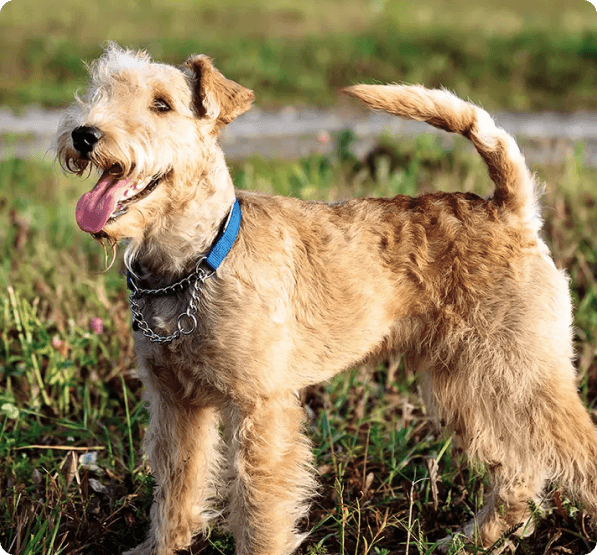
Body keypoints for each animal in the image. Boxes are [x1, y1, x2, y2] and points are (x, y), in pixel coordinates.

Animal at [56, 44, 596, 555]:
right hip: (464, 385)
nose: (84, 134)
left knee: (575, 453)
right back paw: (469, 539)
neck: (192, 264)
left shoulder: (261, 407)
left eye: (162, 104)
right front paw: (158, 547)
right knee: (518, 471)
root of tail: (510, 211)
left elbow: (259, 508)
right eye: (98, 89)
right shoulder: (174, 402)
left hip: (525, 373)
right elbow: (176, 490)